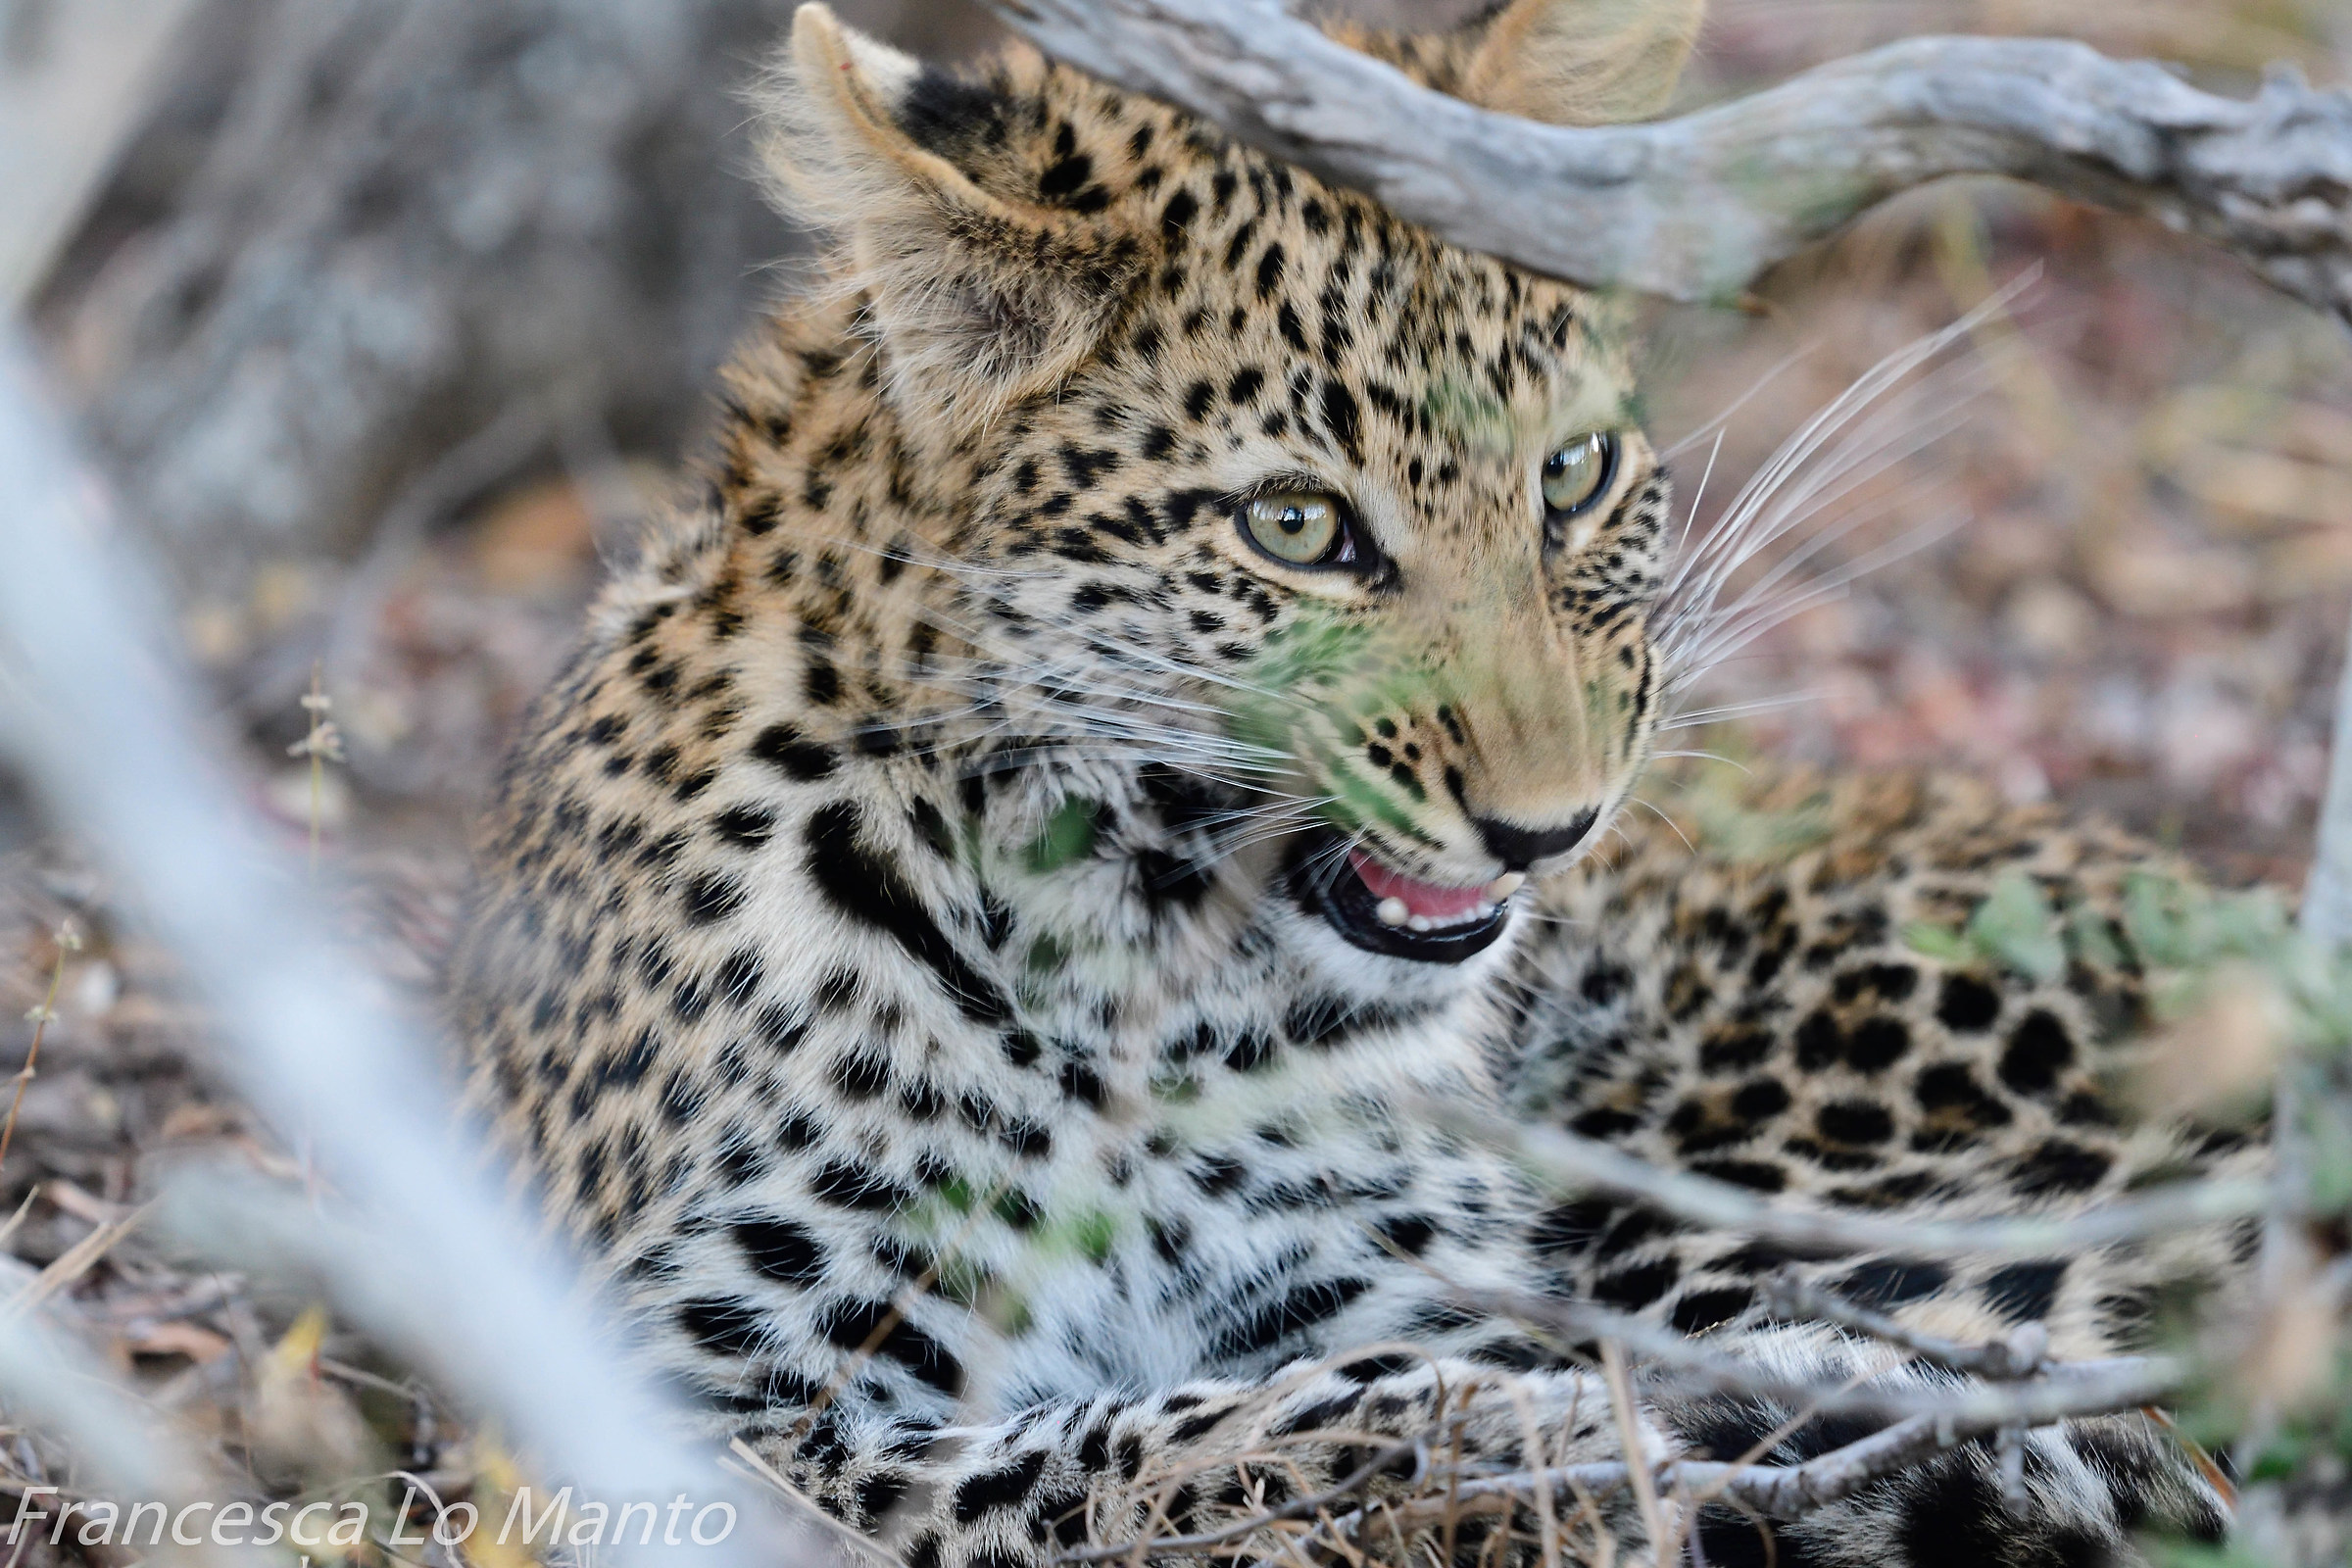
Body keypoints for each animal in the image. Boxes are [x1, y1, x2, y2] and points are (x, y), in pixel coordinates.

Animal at [445, 4, 2270, 1566]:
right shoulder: (649, 1397)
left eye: (1573, 473)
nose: (1553, 823)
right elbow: (1093, 1461)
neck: (1135, 989)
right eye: (1297, 527)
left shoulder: (1389, 1278)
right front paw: (1526, 1446)